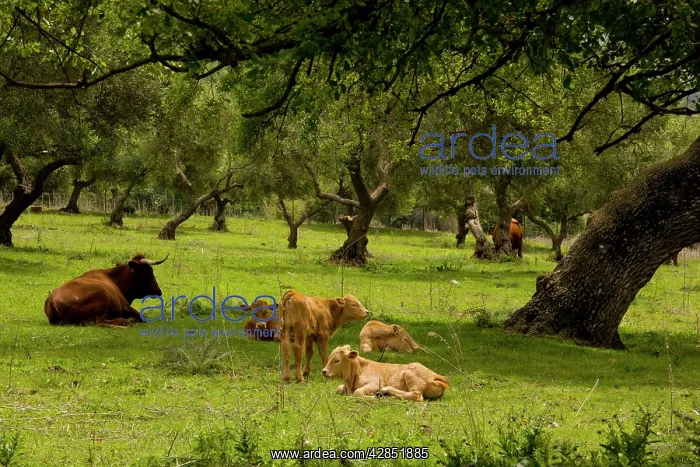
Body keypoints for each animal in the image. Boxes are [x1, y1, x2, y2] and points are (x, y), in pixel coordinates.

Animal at [321, 345, 450, 401]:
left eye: (337, 360)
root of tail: (436, 375)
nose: (324, 371)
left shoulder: (376, 382)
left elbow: (357, 392)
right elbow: (339, 388)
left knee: (416, 395)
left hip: (411, 376)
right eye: (330, 357)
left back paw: (384, 392)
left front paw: (372, 396)